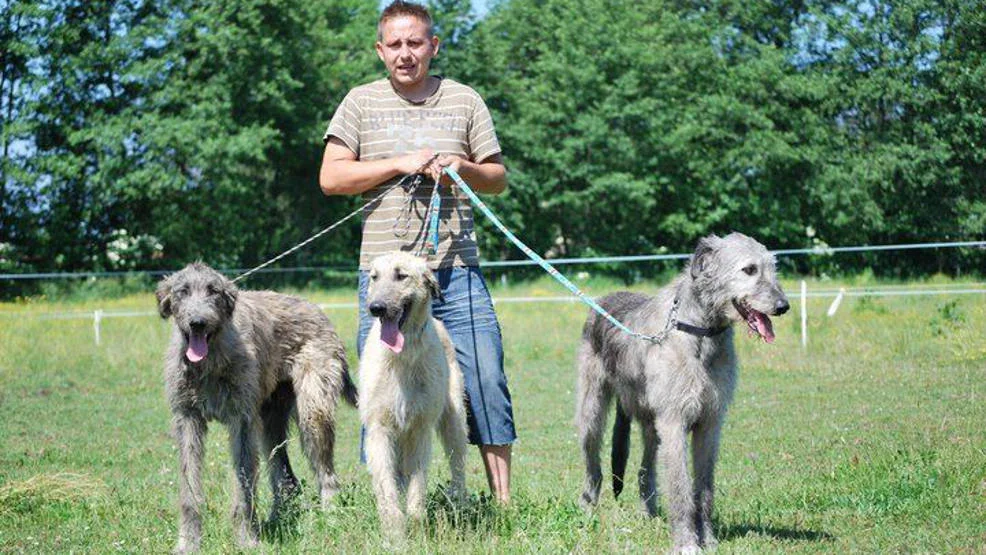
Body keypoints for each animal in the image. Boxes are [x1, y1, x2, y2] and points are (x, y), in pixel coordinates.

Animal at [160, 262, 360, 552]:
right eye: (182, 291)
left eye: (213, 290)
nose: (198, 322)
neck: (209, 361)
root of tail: (319, 312)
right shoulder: (188, 419)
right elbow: (189, 486)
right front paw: (188, 543)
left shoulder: (242, 421)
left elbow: (244, 483)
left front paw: (246, 539)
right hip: (270, 419)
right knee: (285, 478)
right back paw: (278, 520)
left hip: (313, 412)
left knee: (326, 474)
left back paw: (330, 518)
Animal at [358, 252, 468, 540]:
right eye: (374, 277)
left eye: (401, 275)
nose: (376, 307)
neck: (402, 357)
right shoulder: (379, 428)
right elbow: (386, 485)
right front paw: (394, 533)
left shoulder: (420, 428)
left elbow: (417, 486)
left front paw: (417, 528)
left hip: (454, 420)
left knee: (458, 462)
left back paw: (461, 505)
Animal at [572, 232, 788, 552]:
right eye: (749, 269)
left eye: (772, 267)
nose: (783, 306)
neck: (700, 333)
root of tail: (602, 300)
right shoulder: (673, 421)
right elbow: (681, 487)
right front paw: (686, 542)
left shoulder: (710, 423)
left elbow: (704, 487)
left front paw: (707, 538)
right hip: (592, 411)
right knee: (593, 467)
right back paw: (588, 510)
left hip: (650, 421)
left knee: (645, 470)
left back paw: (649, 515)